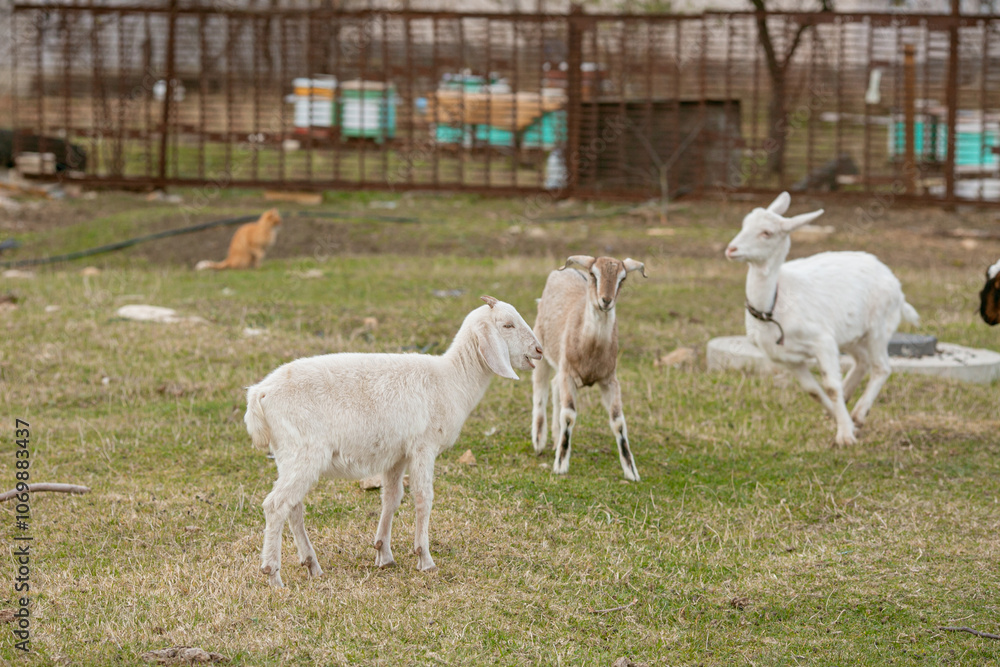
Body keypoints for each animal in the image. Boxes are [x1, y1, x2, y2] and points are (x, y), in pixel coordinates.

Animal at [244, 296, 543, 586]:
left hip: (288, 455)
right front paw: (425, 558)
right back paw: (273, 574)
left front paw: (384, 554)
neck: (452, 378)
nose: (539, 350)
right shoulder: (424, 446)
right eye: (507, 325)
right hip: (304, 452)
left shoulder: (397, 453)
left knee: (293, 507)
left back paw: (312, 565)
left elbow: (391, 497)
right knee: (276, 505)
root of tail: (259, 393)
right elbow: (423, 496)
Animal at [531, 255, 646, 480]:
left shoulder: (609, 380)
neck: (590, 351)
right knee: (540, 387)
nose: (606, 300)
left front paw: (631, 471)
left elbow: (618, 421)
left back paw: (555, 437)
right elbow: (569, 415)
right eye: (593, 274)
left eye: (623, 278)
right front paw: (561, 464)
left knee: (554, 385)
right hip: (540, 345)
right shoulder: (568, 374)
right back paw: (539, 440)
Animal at [725, 192, 919, 446]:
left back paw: (859, 413)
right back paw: (850, 403)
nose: (731, 249)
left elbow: (830, 387)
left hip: (878, 326)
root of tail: (898, 287)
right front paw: (839, 418)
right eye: (744, 224)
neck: (775, 304)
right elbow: (814, 390)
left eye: (766, 232)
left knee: (881, 367)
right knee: (863, 361)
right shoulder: (787, 358)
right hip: (850, 335)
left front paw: (845, 436)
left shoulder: (822, 341)